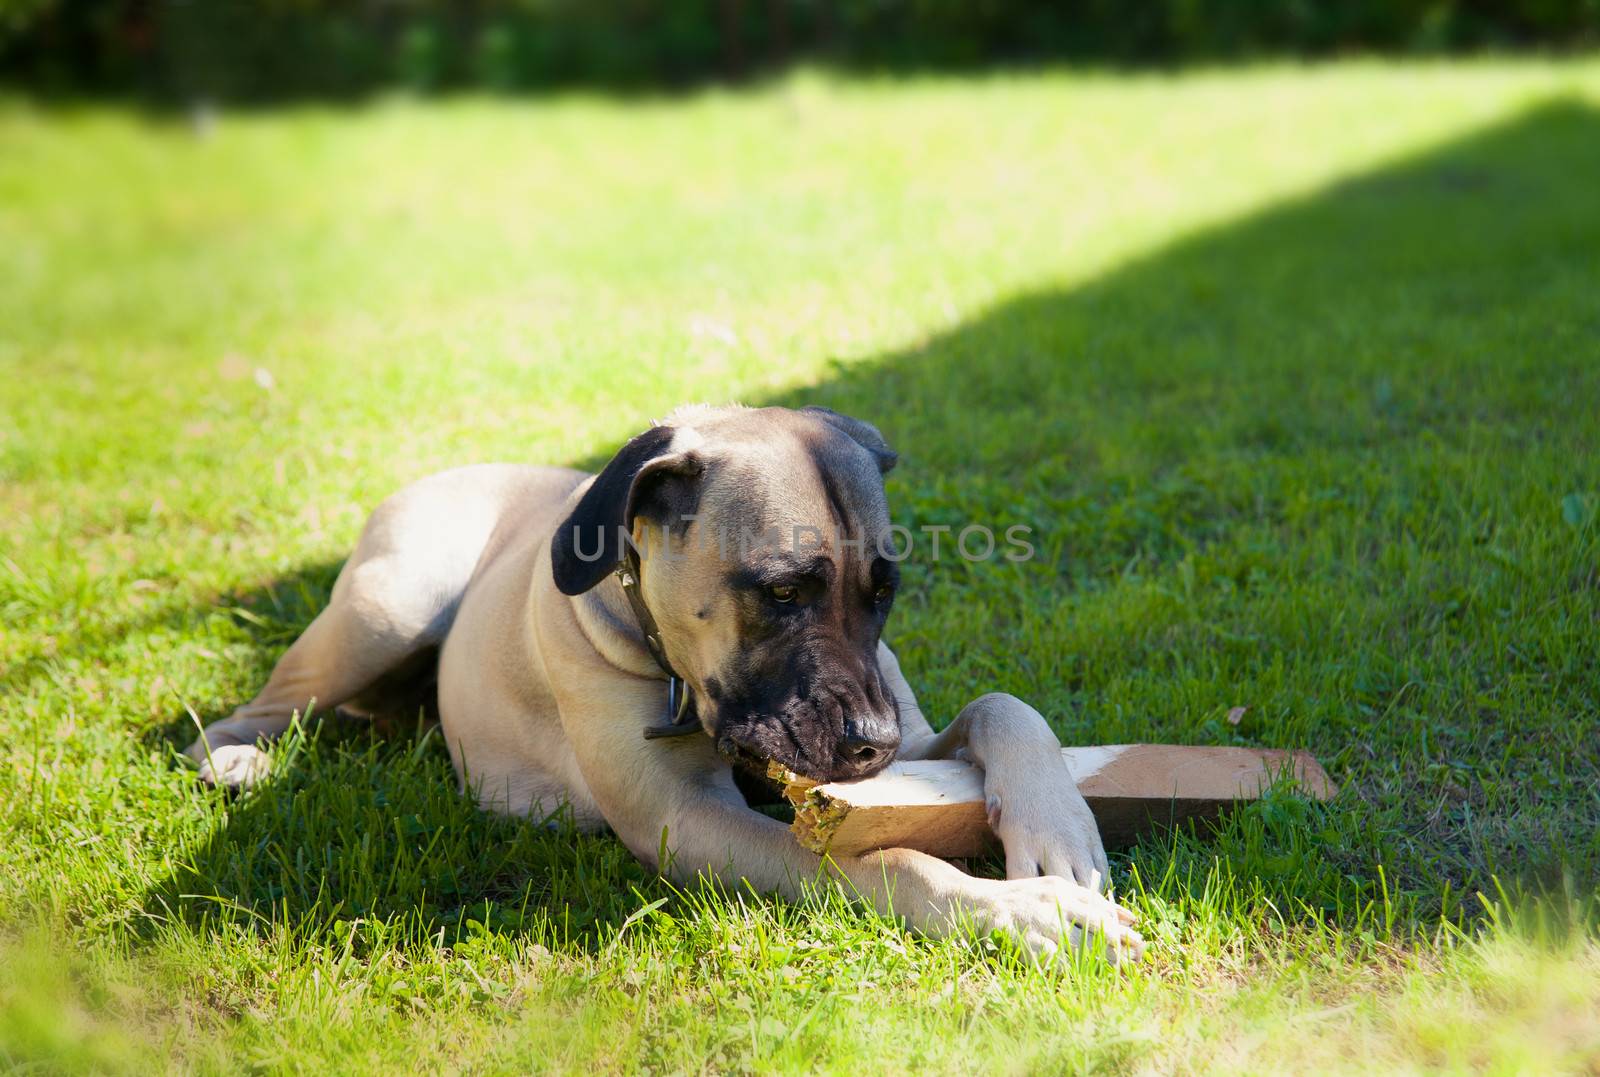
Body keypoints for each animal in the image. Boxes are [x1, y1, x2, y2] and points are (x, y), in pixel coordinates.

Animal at [184, 403, 1139, 960]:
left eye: (884, 592)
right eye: (782, 591)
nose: (873, 745)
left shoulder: (913, 731)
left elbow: (1002, 703)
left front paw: (1056, 829)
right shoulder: (687, 820)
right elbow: (885, 859)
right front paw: (1022, 909)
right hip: (391, 602)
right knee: (258, 707)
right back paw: (237, 759)